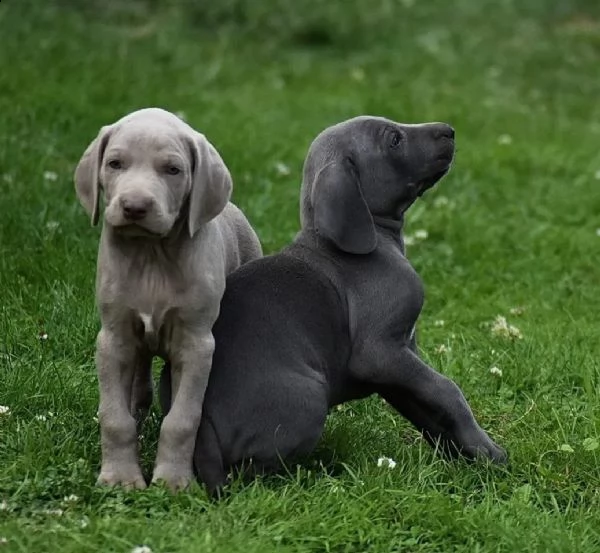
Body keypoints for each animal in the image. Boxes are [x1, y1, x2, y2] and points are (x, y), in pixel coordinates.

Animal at [74, 105, 262, 490]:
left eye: (173, 170)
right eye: (115, 164)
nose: (134, 207)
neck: (151, 256)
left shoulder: (196, 345)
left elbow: (182, 419)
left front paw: (174, 480)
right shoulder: (113, 339)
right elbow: (114, 417)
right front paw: (119, 477)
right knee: (139, 385)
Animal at [158, 114, 506, 494]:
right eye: (394, 140)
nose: (449, 130)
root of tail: (199, 415)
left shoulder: (397, 363)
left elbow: (428, 407)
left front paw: (465, 455)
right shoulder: (379, 353)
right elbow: (447, 390)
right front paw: (489, 451)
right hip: (309, 398)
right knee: (250, 473)